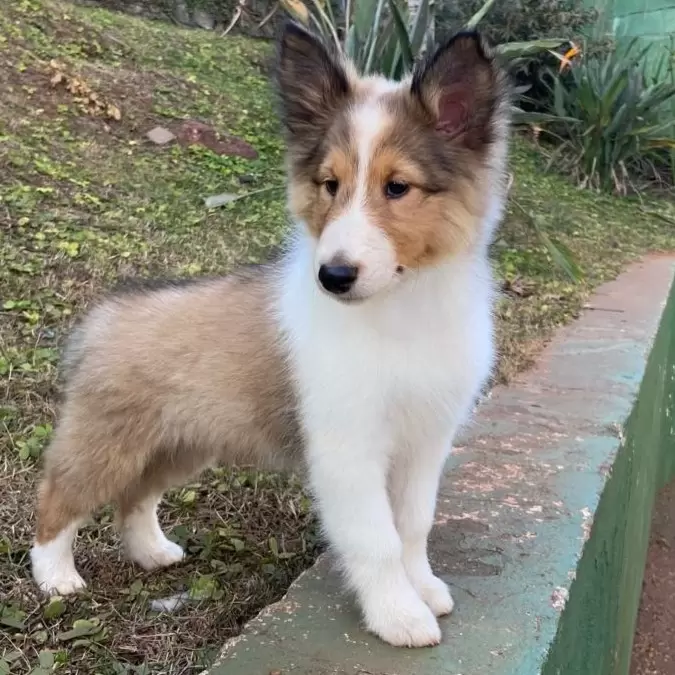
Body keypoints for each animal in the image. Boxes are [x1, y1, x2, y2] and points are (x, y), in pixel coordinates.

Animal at [29, 18, 510, 648]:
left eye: (397, 187)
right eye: (330, 184)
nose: (333, 276)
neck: (399, 308)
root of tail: (104, 315)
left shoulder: (426, 439)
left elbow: (412, 526)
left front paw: (423, 588)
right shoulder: (347, 447)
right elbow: (377, 539)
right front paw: (399, 616)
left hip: (181, 442)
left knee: (134, 499)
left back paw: (153, 553)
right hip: (108, 440)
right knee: (59, 496)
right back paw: (56, 578)